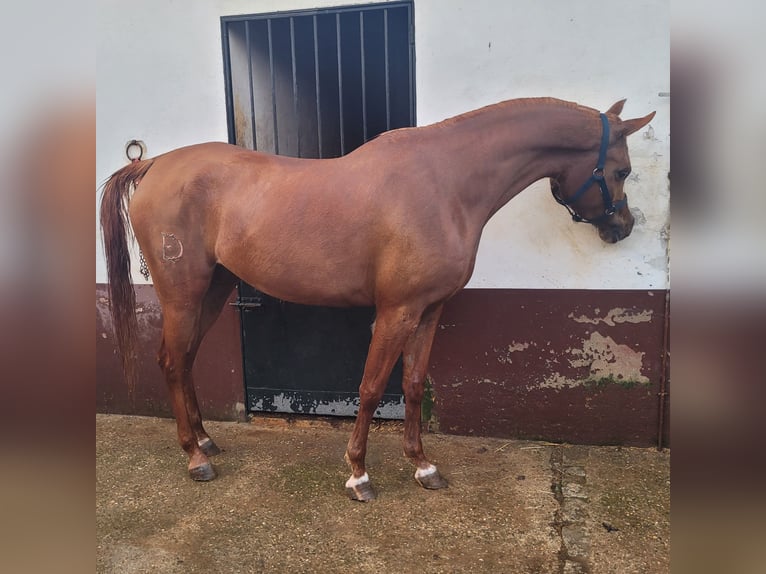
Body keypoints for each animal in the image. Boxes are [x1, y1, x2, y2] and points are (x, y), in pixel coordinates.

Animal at [100, 97, 654, 501]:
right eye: (622, 171)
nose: (624, 229)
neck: (445, 184)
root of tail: (153, 165)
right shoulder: (396, 311)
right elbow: (369, 388)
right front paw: (358, 475)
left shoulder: (429, 311)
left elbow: (411, 384)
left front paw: (424, 467)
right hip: (182, 294)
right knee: (172, 361)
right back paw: (195, 459)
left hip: (213, 290)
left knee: (188, 359)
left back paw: (206, 440)